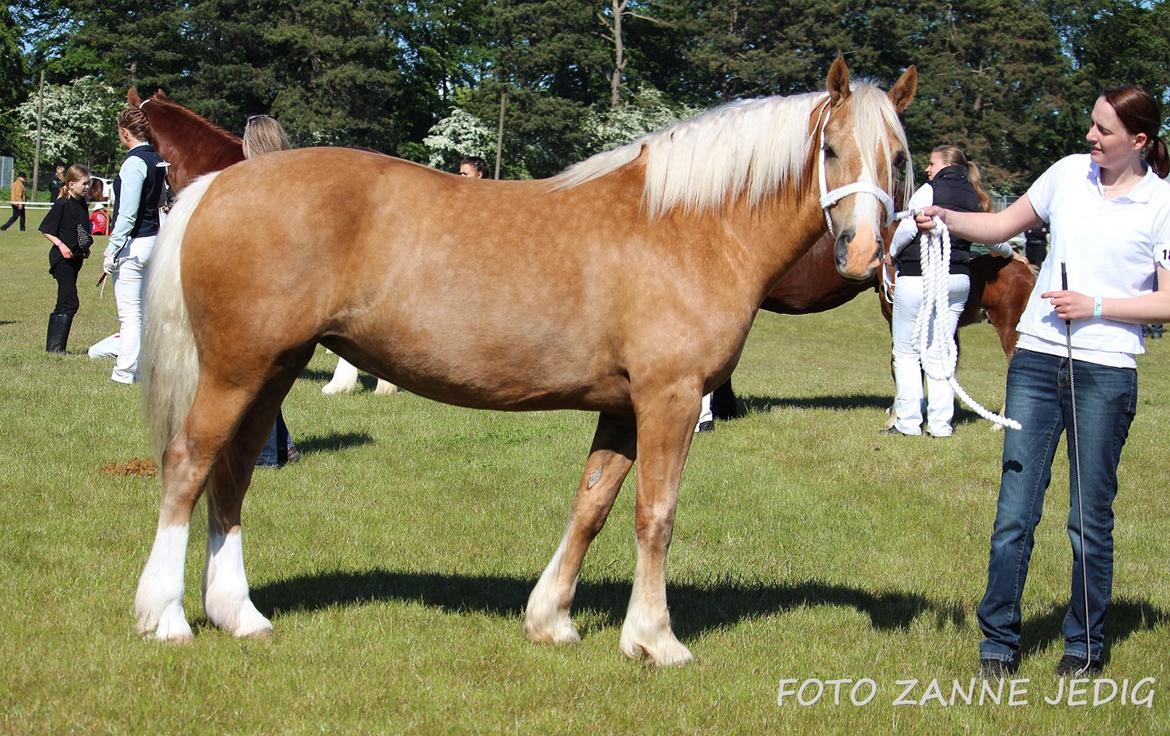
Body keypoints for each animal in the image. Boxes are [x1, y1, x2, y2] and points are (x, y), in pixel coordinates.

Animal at [136, 60, 917, 664]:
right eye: (830, 150)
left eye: (900, 157)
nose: (862, 254)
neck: (689, 226)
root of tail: (220, 185)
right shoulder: (669, 399)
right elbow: (655, 514)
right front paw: (655, 639)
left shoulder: (623, 409)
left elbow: (592, 505)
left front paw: (551, 620)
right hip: (237, 370)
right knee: (188, 465)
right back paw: (166, 618)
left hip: (271, 370)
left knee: (233, 475)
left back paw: (240, 615)